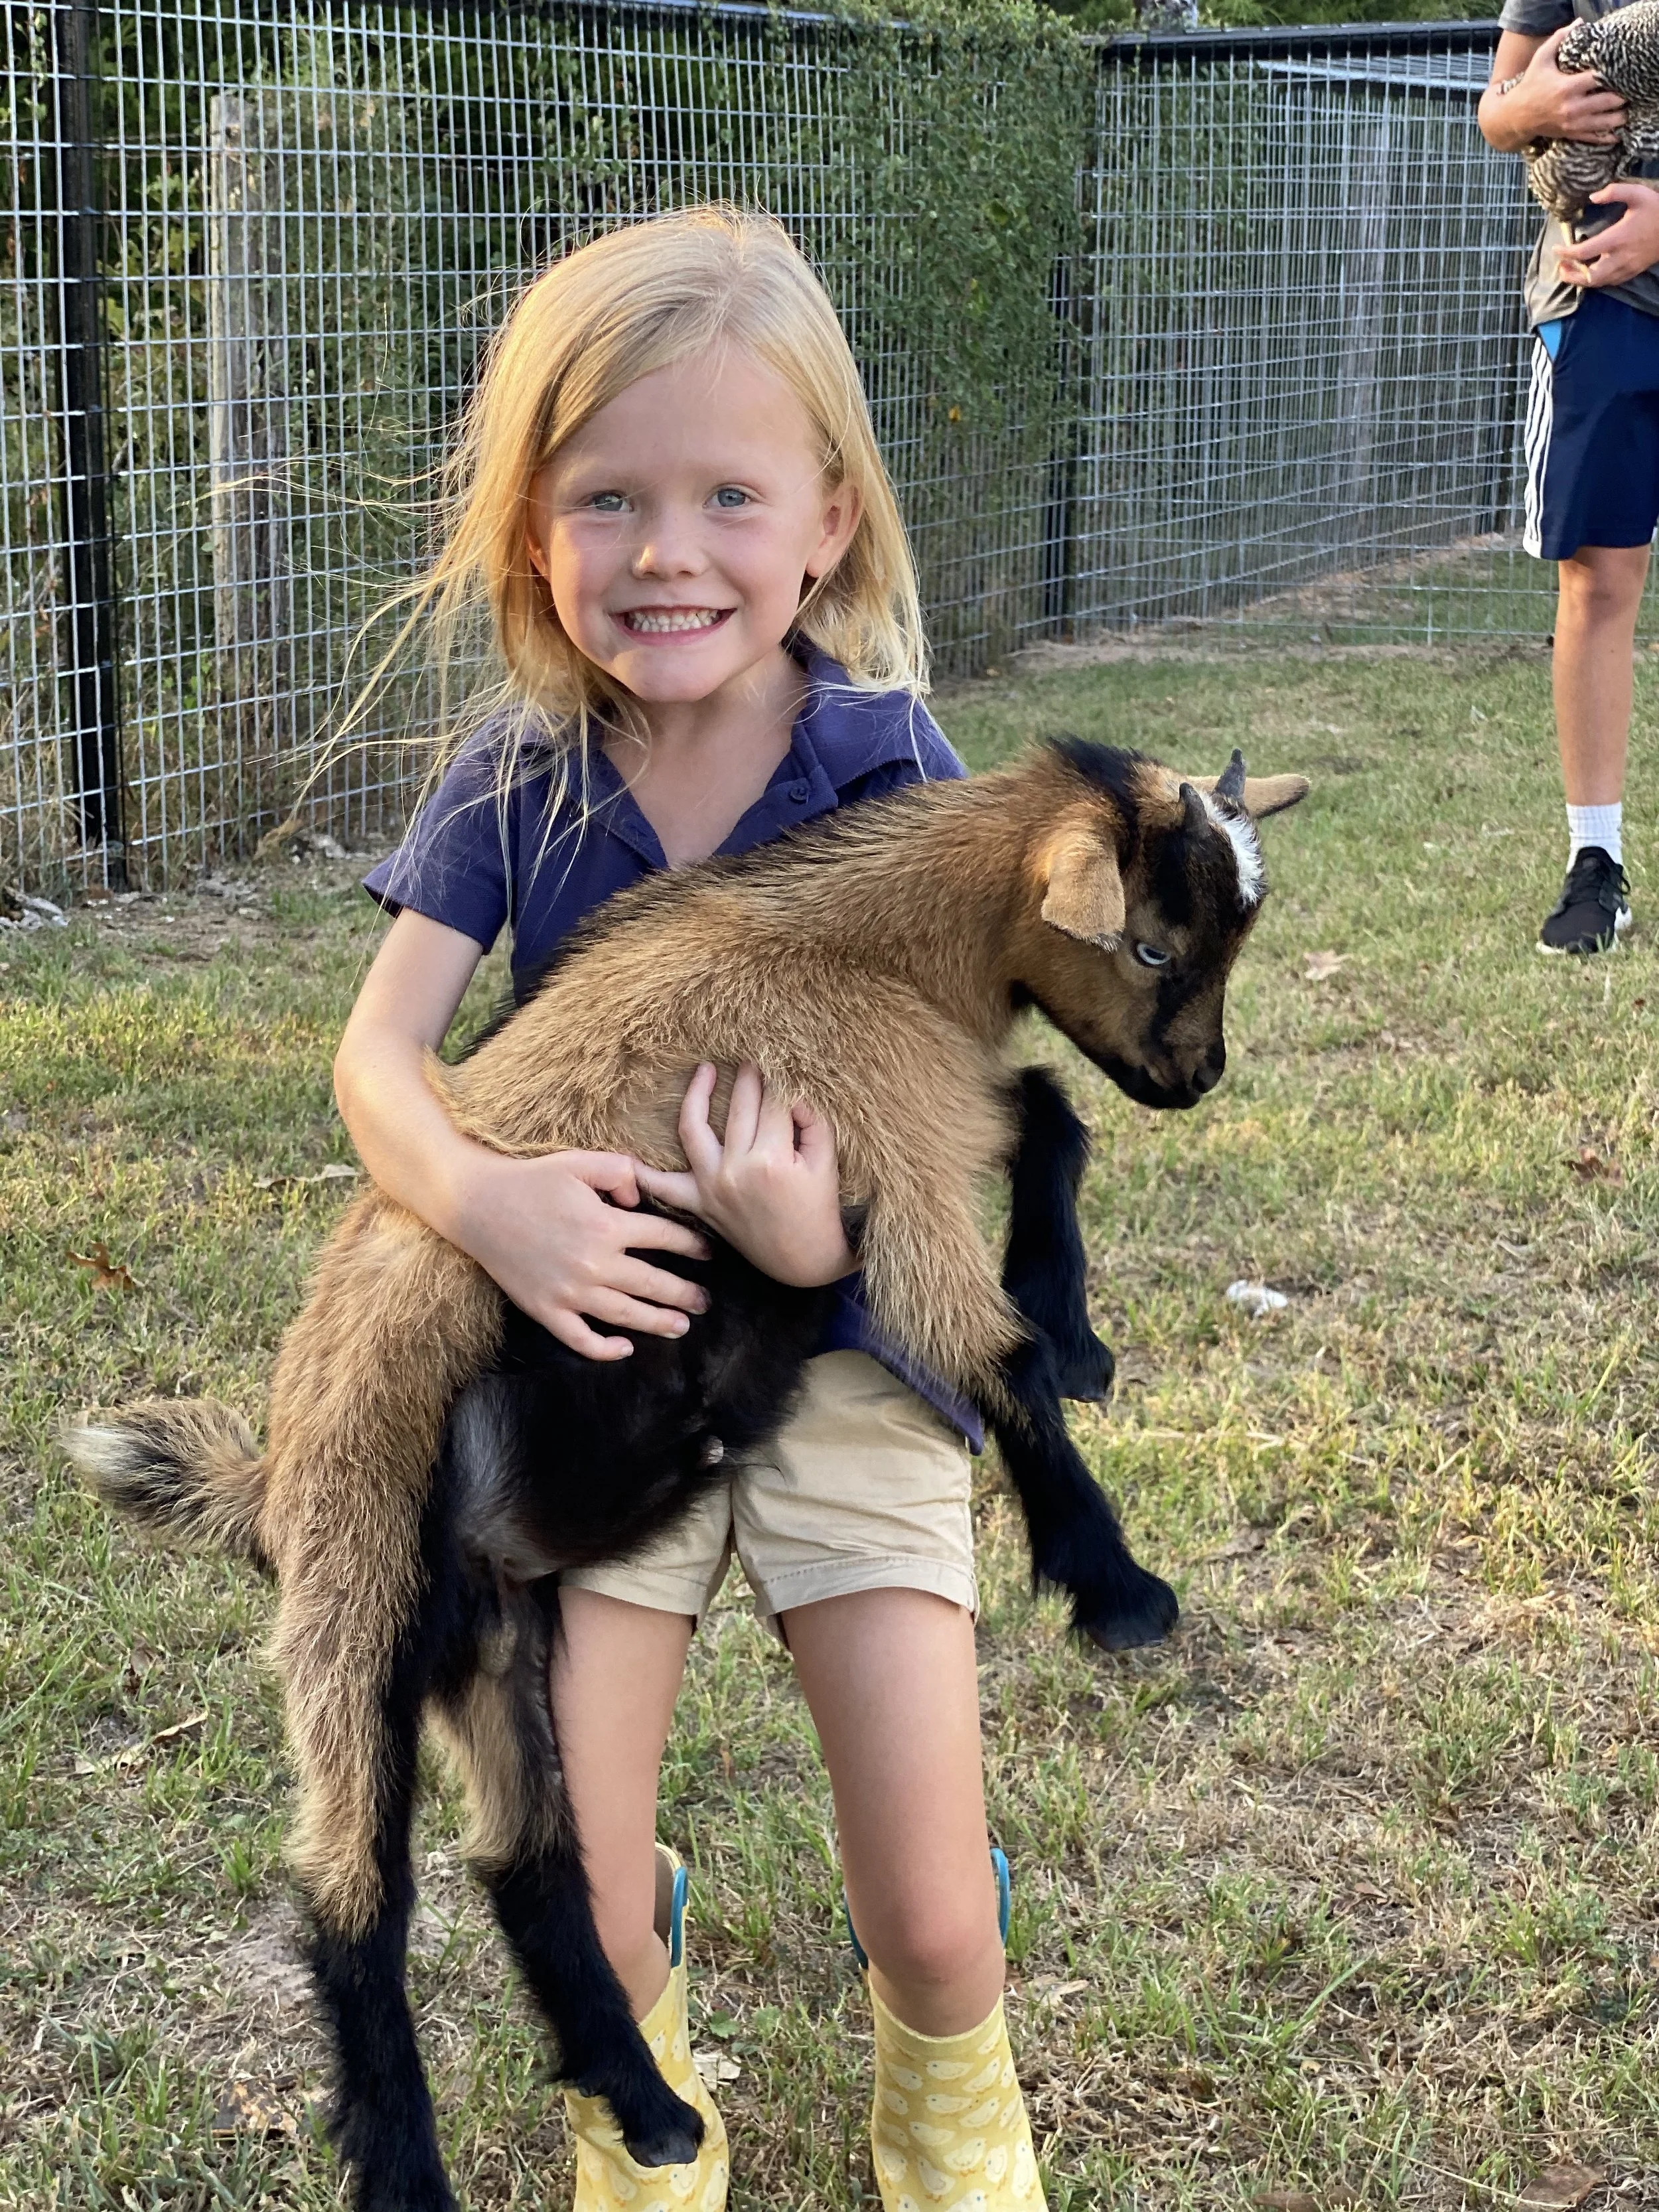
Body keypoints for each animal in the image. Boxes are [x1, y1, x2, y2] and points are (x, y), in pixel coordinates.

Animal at [70, 737, 1307, 2212]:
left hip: (495, 1640)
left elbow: (1048, 1114)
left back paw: (650, 2107)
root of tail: (267, 1476)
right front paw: (1114, 1583)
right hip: (352, 1584)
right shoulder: (883, 1129)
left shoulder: (932, 1107)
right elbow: (985, 1350)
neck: (871, 953)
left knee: (530, 1861)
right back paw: (410, 2165)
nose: (1199, 1079)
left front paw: (1078, 1328)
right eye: (1154, 943)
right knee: (351, 1895)